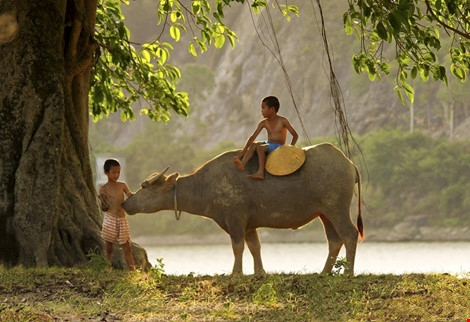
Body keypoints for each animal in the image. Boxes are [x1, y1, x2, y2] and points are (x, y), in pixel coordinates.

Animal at [122, 143, 364, 274]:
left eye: (145, 186)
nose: (126, 202)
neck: (206, 186)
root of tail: (349, 163)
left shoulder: (235, 219)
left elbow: (237, 247)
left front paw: (236, 272)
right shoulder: (249, 225)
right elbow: (255, 247)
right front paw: (260, 272)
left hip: (337, 209)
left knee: (350, 235)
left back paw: (348, 272)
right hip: (324, 213)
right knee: (334, 240)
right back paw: (324, 272)